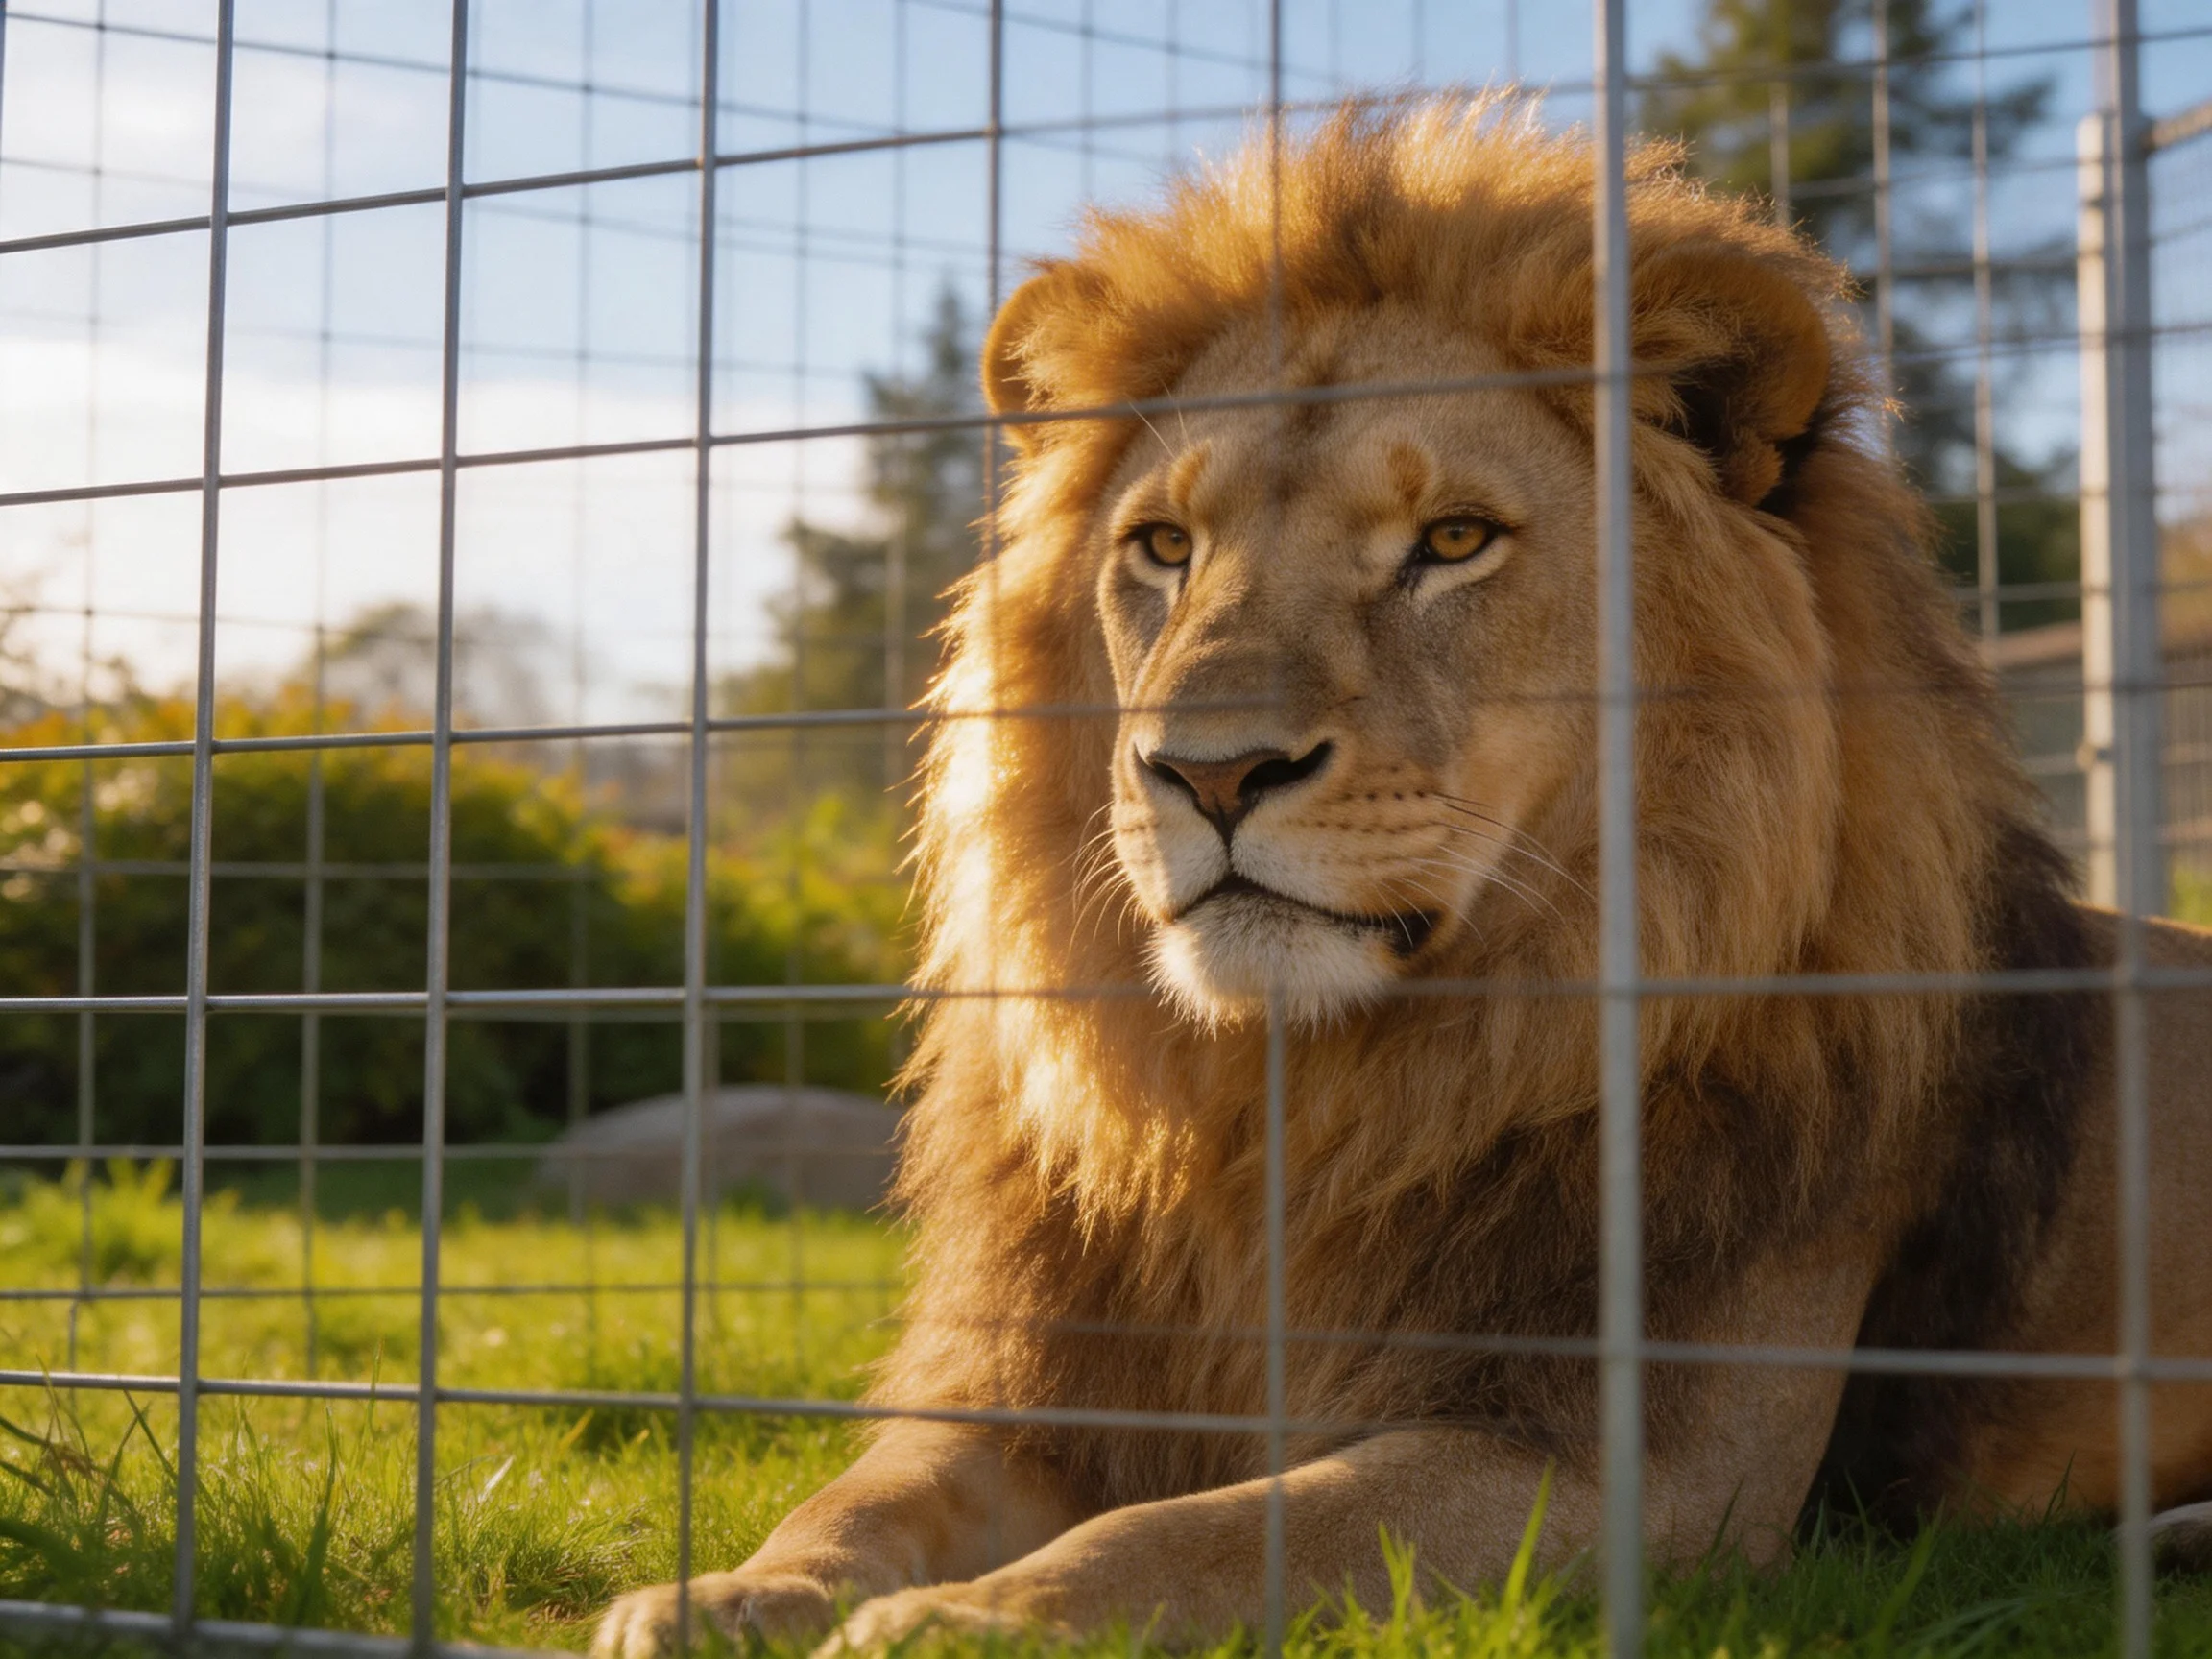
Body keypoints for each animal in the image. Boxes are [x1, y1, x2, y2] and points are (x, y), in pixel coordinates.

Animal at [595, 99, 2212, 1656]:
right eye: (1163, 549)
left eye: (1453, 541)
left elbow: (1208, 1532)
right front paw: (722, 1596)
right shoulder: (1037, 1385)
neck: (1308, 1099)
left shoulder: (1646, 1471)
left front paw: (965, 1622)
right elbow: (860, 1499)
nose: (1209, 775)